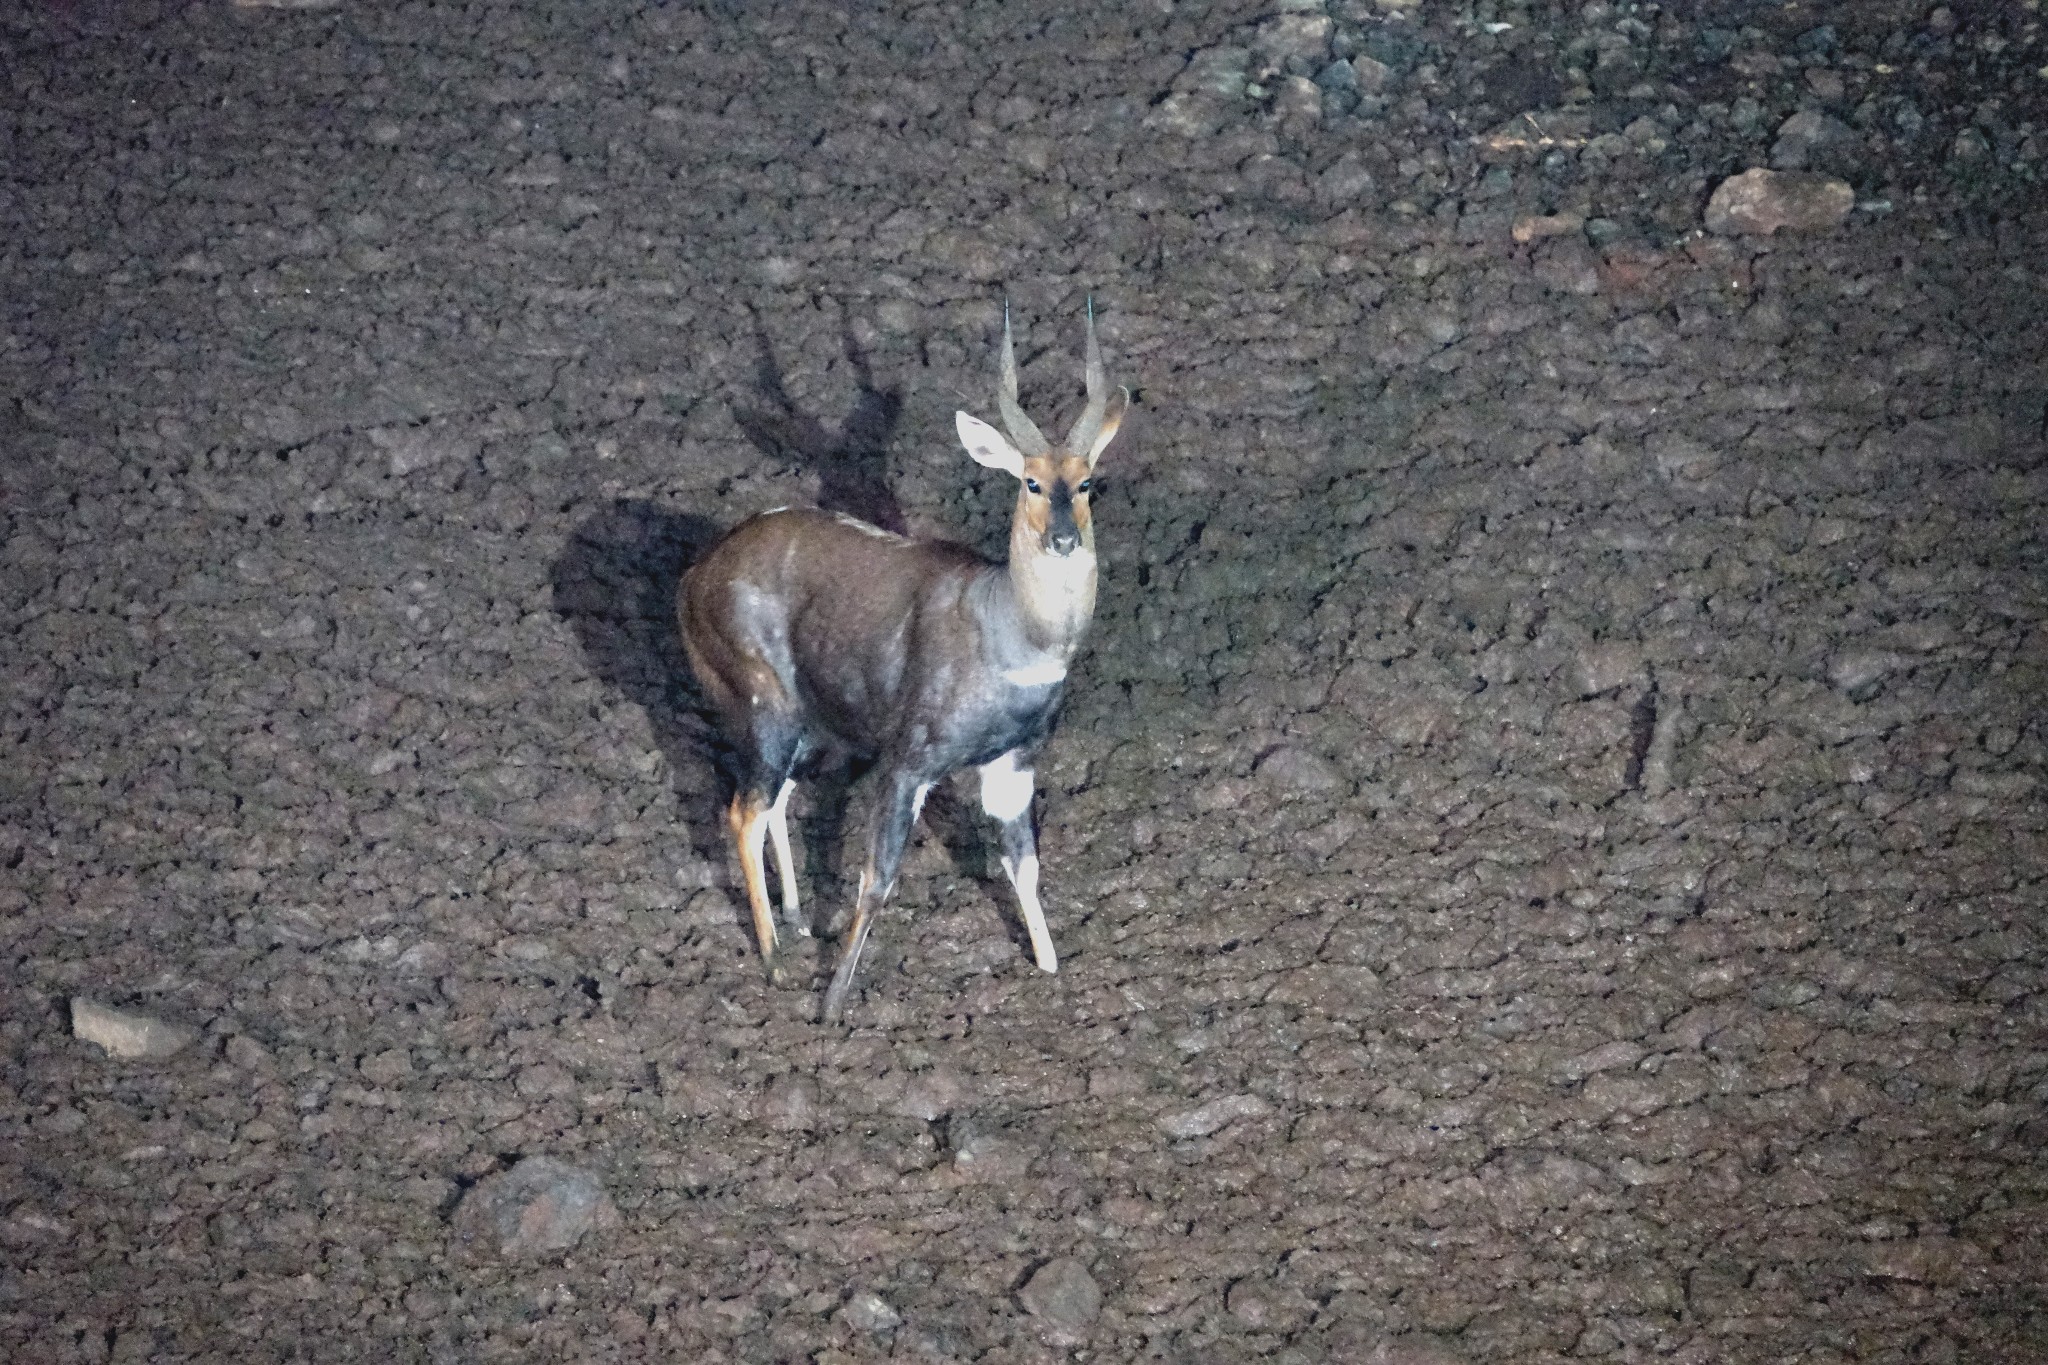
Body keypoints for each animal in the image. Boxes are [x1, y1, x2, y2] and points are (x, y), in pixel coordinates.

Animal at [679, 304, 1130, 1019]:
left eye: (1086, 481)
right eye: (1030, 481)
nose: (1063, 539)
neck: (1011, 634)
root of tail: (694, 577)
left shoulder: (1013, 765)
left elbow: (1025, 867)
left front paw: (1051, 972)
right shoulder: (907, 763)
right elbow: (878, 876)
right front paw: (833, 1006)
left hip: (805, 729)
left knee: (775, 801)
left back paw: (798, 919)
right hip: (766, 710)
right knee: (744, 811)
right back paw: (776, 961)